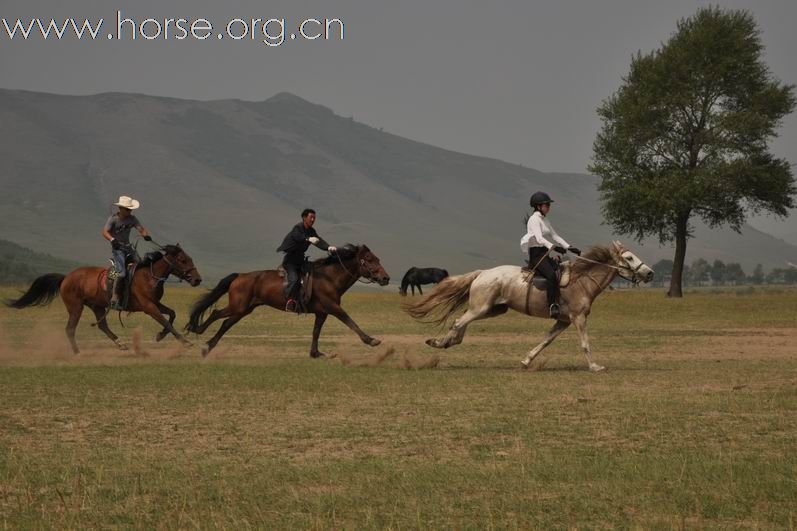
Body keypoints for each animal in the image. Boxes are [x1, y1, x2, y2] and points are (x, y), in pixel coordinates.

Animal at [7, 244, 201, 354]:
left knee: (102, 326)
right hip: (76, 307)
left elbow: (172, 314)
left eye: (190, 258)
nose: (197, 279)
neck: (148, 275)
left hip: (97, 306)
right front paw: (185, 342)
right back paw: (77, 352)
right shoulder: (148, 307)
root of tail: (65, 278)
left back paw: (120, 344)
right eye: (183, 260)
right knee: (70, 328)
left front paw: (160, 336)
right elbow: (166, 321)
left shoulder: (155, 303)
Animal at [183, 245, 388, 358]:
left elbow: (316, 332)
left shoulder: (322, 312)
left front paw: (315, 353)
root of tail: (240, 275)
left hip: (244, 309)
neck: (329, 278)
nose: (386, 278)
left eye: (377, 258)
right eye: (369, 259)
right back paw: (199, 331)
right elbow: (350, 321)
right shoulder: (333, 307)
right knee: (217, 314)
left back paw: (207, 346)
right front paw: (371, 340)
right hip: (238, 306)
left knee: (226, 323)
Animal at [404, 243, 652, 372]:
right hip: (481, 308)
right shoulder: (579, 318)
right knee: (458, 322)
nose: (649, 273)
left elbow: (545, 341)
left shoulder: (563, 320)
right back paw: (439, 343)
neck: (582, 280)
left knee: (461, 324)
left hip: (491, 309)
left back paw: (445, 342)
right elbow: (585, 344)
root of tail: (482, 273)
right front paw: (594, 366)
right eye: (629, 257)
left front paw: (526, 361)